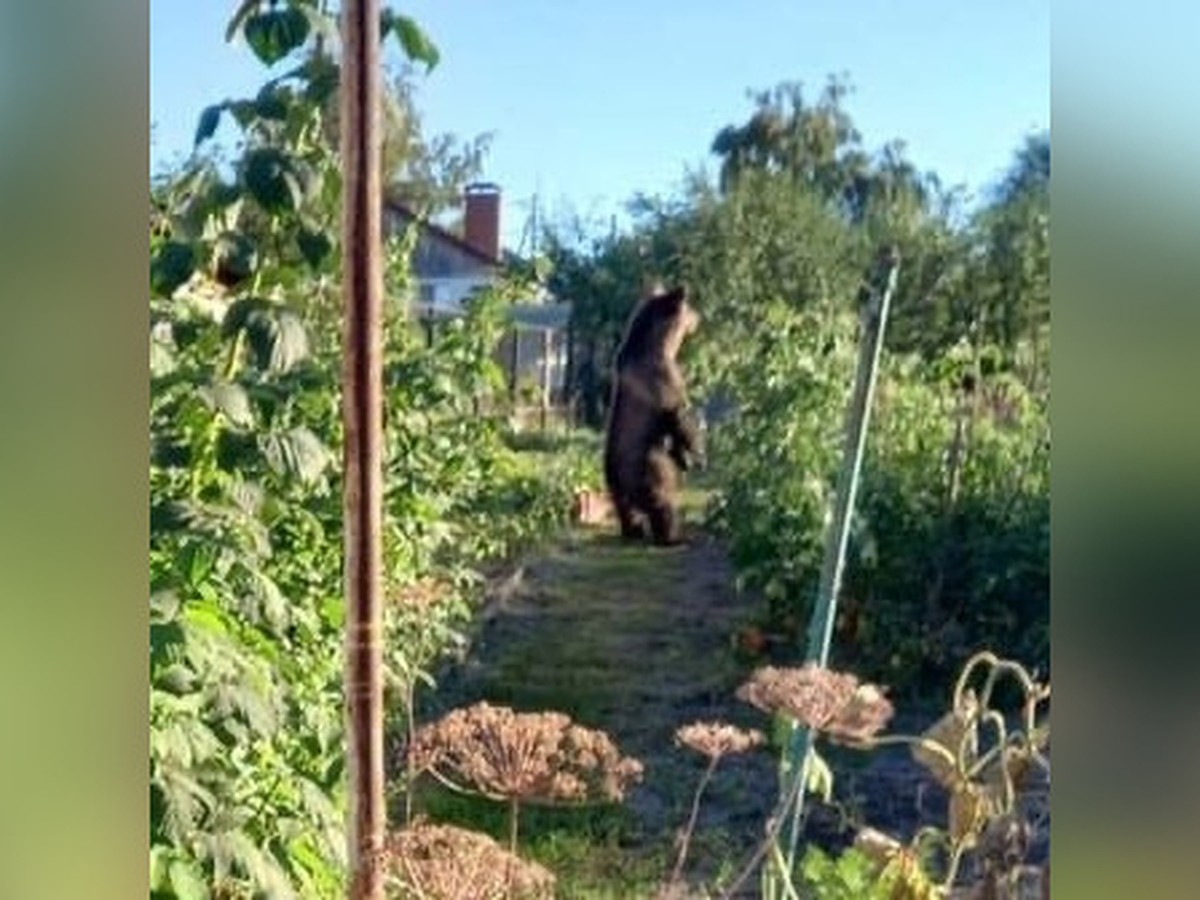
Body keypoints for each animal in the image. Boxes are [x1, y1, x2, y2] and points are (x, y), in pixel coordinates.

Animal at [600, 285, 700, 547]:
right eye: (690, 309)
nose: (699, 318)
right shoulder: (665, 381)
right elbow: (681, 418)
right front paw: (696, 454)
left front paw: (685, 458)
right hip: (649, 464)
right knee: (663, 501)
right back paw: (673, 537)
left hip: (615, 481)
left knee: (626, 509)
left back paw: (633, 531)